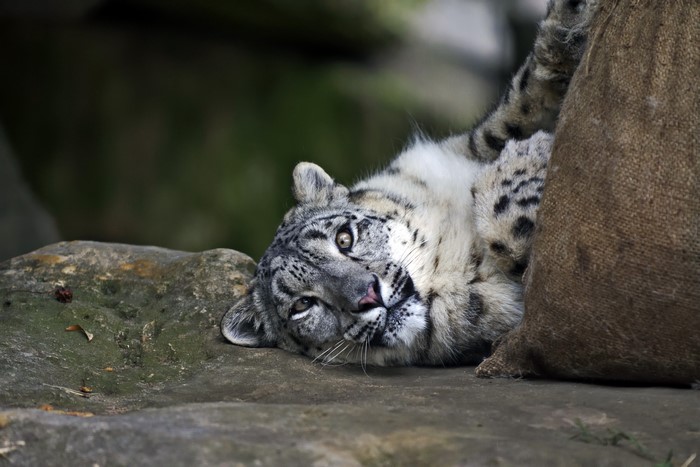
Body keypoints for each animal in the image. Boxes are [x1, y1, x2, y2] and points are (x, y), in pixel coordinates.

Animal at [221, 0, 596, 366]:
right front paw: (527, 155)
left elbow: (520, 101)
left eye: (344, 238)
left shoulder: (466, 147)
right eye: (302, 305)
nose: (368, 295)